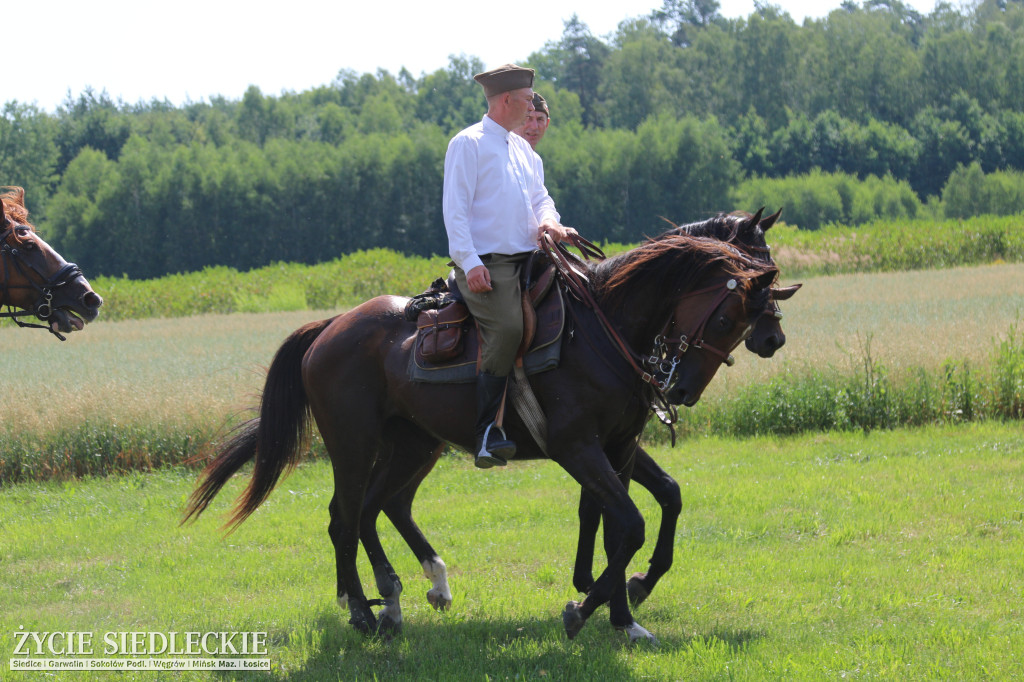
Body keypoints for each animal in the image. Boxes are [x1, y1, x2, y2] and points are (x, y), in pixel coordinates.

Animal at [184, 231, 774, 638]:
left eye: (742, 324)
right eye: (727, 320)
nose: (682, 390)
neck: (602, 329)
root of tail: (328, 329)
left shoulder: (621, 450)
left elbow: (624, 526)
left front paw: (622, 616)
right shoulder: (577, 448)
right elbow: (628, 525)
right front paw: (584, 610)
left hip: (415, 445)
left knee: (380, 507)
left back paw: (402, 593)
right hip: (353, 447)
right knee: (344, 518)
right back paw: (363, 613)